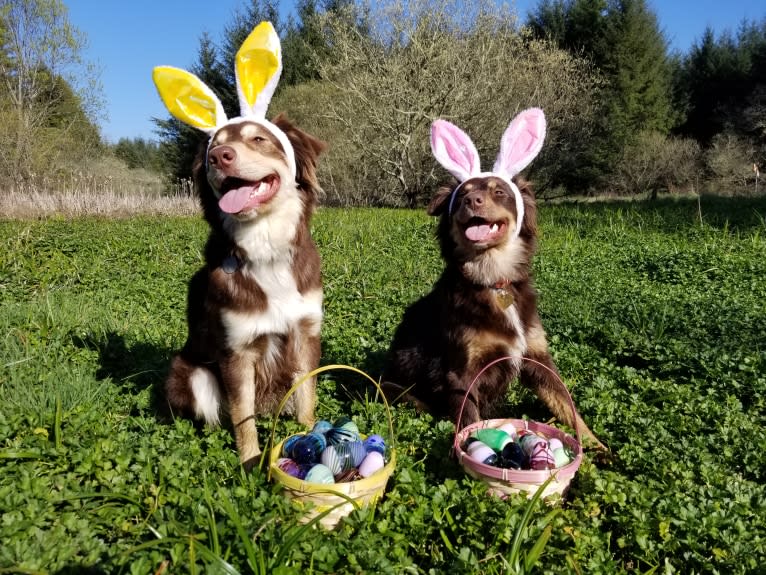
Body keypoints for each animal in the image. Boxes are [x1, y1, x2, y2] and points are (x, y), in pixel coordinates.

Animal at [154, 23, 326, 472]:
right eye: (215, 146)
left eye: (259, 139)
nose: (220, 156)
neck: (264, 243)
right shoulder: (237, 350)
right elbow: (241, 414)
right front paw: (251, 463)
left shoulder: (305, 334)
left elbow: (307, 397)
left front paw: (310, 435)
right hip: (190, 372)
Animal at [384, 109, 608, 450]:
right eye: (461, 195)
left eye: (498, 192)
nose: (471, 201)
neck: (493, 279)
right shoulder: (461, 373)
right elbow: (469, 423)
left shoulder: (538, 359)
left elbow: (568, 407)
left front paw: (599, 449)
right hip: (397, 392)